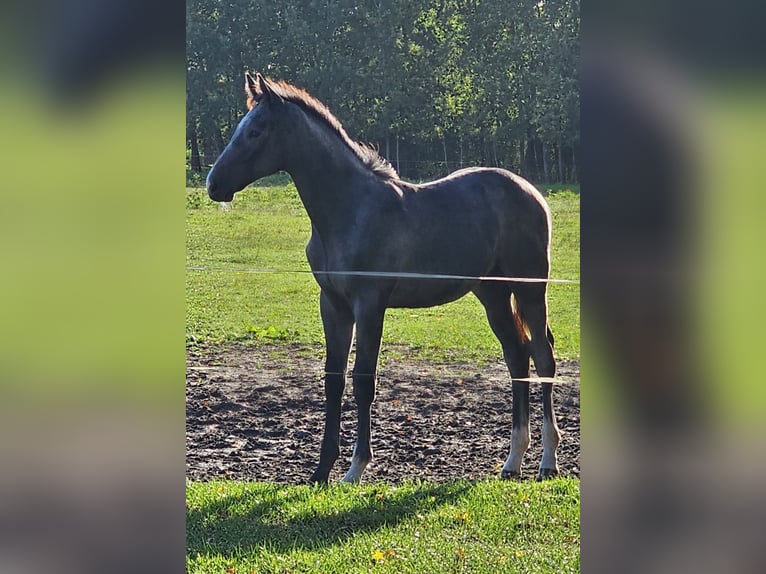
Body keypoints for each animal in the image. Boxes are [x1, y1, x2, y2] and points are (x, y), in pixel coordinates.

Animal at [207, 73, 560, 486]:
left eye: (256, 131)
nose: (214, 185)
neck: (350, 210)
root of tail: (532, 192)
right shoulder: (333, 305)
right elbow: (333, 380)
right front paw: (321, 471)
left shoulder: (370, 304)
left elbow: (363, 380)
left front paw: (355, 468)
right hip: (492, 293)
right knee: (516, 356)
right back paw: (512, 461)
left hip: (530, 289)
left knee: (543, 357)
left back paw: (547, 461)